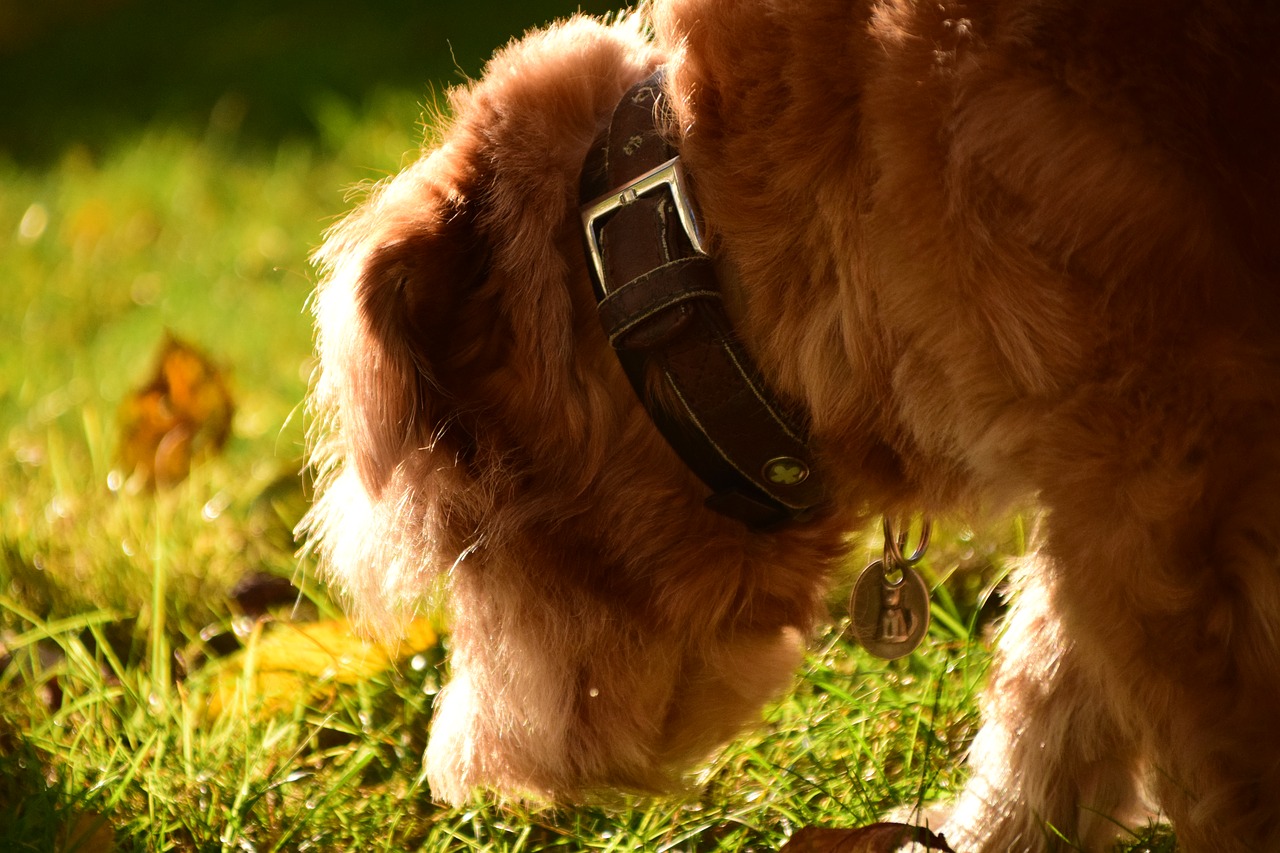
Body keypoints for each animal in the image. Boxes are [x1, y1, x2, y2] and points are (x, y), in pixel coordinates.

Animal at [299, 3, 1280, 845]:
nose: (464, 781)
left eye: (466, 548)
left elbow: (1197, 742)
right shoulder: (1131, 471)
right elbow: (1058, 671)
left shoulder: (1162, 461)